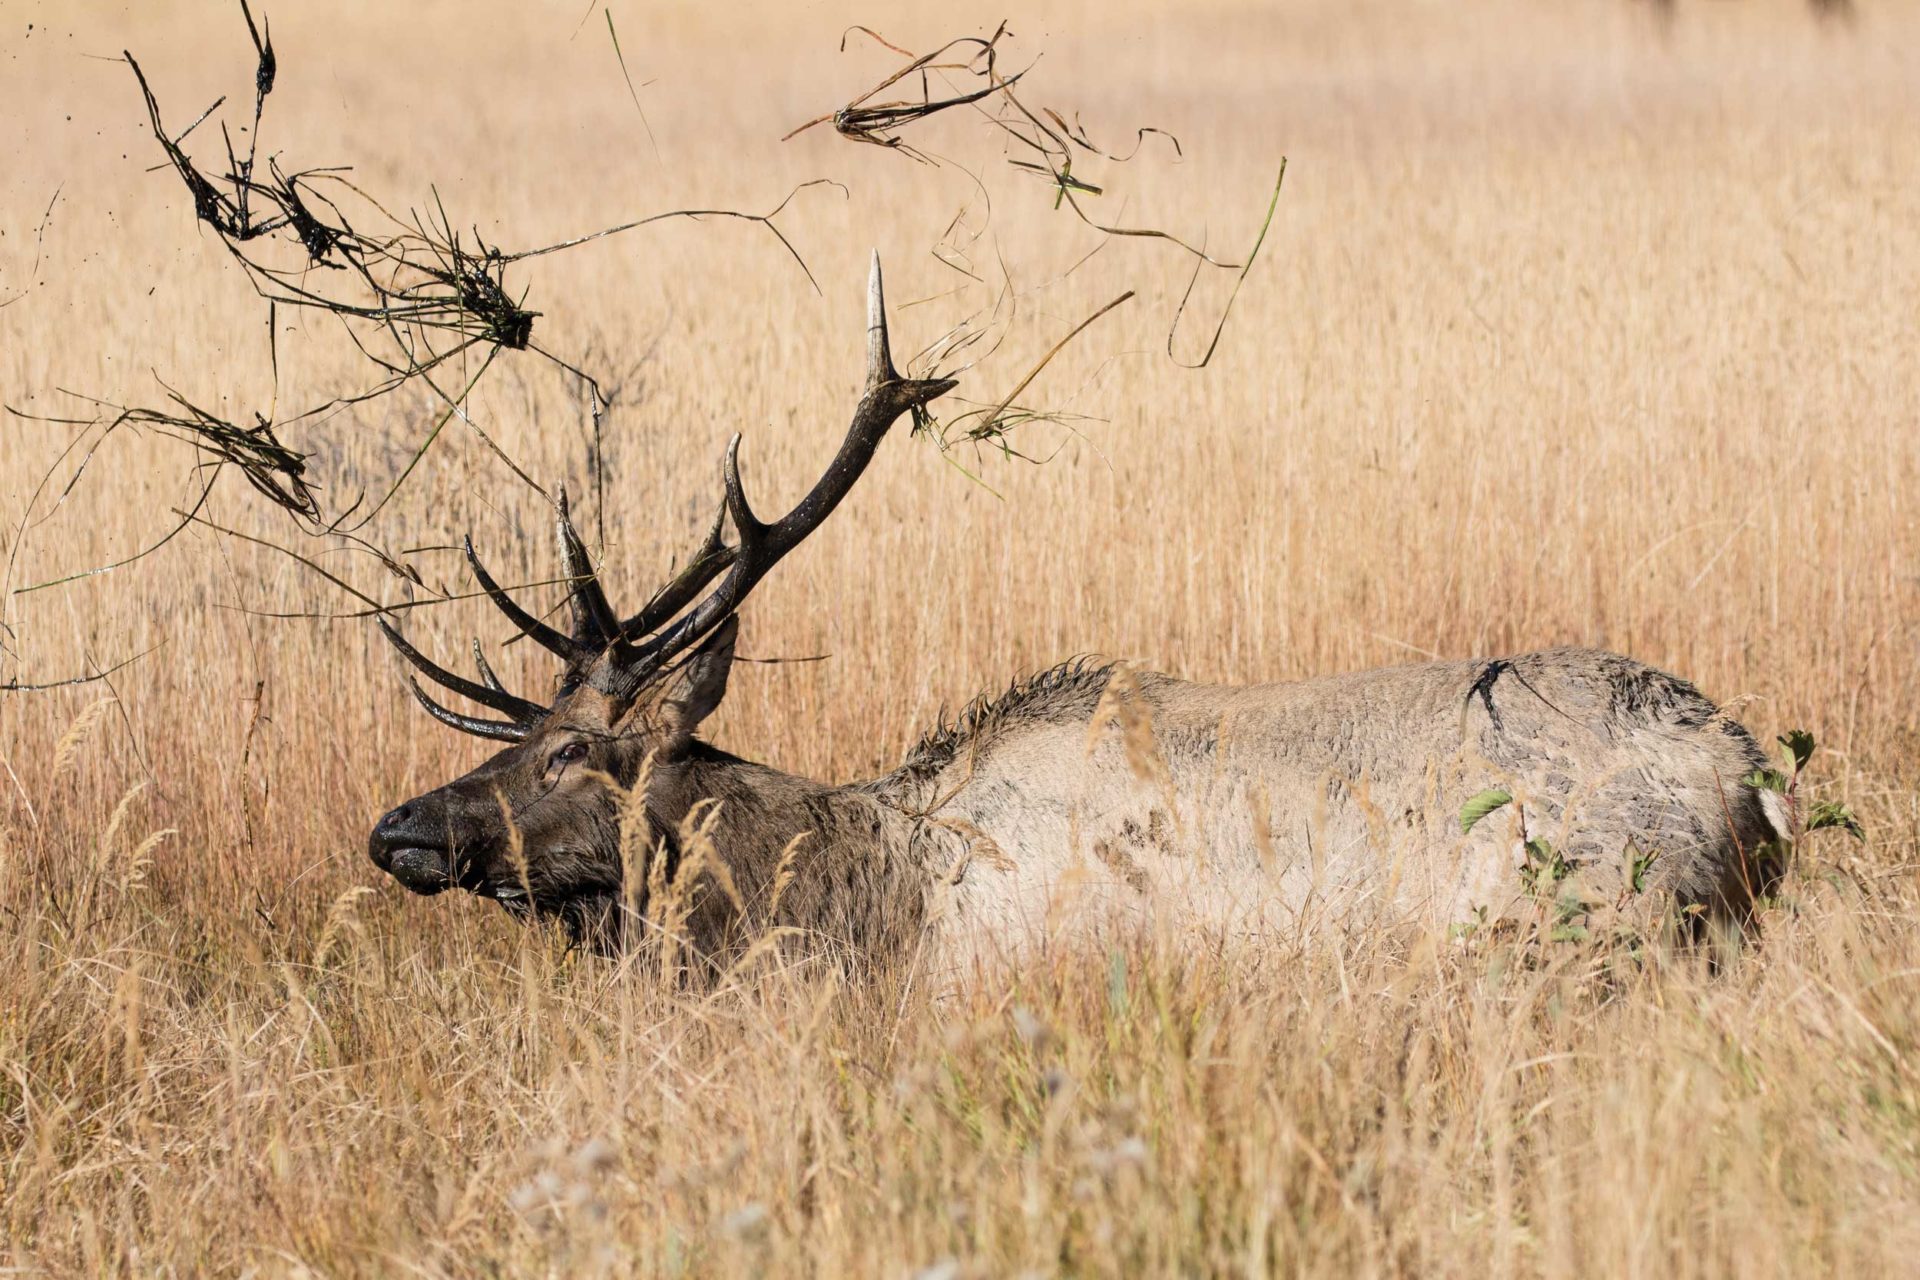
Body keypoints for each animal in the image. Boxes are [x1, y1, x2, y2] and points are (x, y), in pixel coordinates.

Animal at [370, 253, 1781, 971]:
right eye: (518, 736)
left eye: (570, 753)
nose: (396, 826)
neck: (864, 891)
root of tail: (1755, 779)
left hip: (1585, 916)